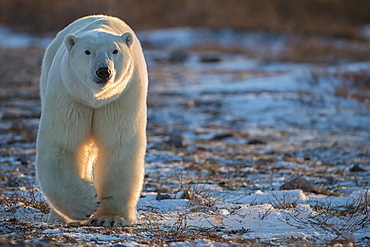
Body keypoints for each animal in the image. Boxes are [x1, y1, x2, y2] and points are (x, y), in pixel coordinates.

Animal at [35, 14, 148, 226]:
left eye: (115, 50)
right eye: (87, 51)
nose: (103, 71)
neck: (95, 98)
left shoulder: (120, 98)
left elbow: (118, 145)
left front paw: (110, 218)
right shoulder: (71, 96)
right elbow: (63, 144)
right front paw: (87, 202)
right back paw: (58, 216)